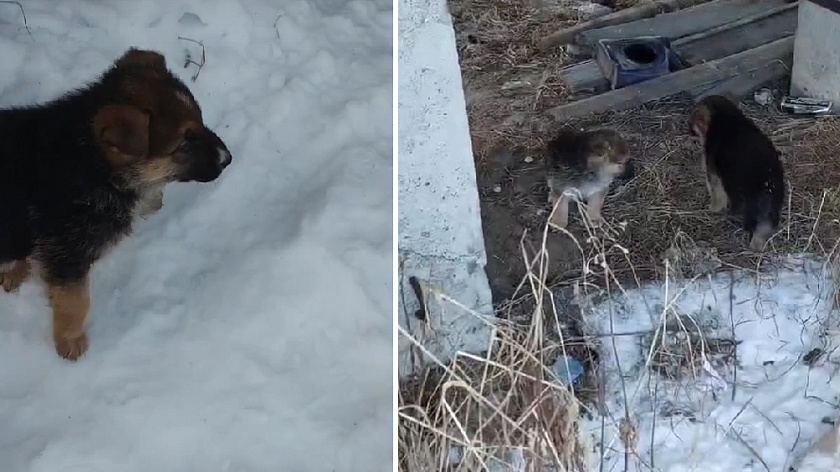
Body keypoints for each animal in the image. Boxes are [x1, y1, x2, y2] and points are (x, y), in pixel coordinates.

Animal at [0, 48, 233, 360]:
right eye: (183, 145)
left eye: (201, 121)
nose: (227, 158)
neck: (93, 162)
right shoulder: (69, 255)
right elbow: (76, 302)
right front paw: (71, 342)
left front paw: (14, 273)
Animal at [688, 94, 788, 253]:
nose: (688, 128)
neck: (727, 117)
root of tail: (768, 185)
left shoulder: (713, 172)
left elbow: (717, 193)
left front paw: (713, 208)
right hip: (772, 207)